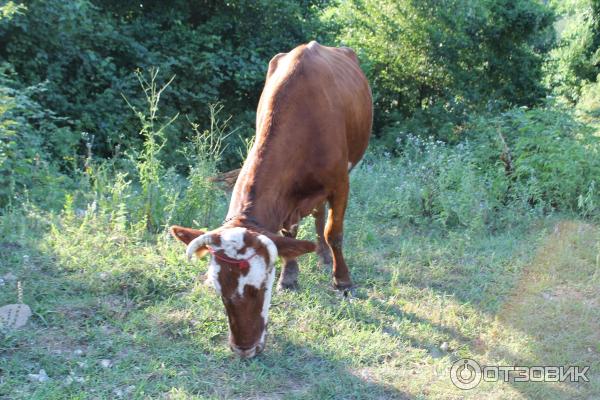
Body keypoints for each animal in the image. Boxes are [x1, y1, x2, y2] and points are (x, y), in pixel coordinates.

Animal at [171, 40, 372, 358]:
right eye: (218, 288)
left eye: (259, 285)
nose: (243, 348)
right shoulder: (288, 199)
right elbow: (290, 234)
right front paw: (289, 276)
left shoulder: (341, 182)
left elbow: (334, 232)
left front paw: (343, 280)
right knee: (316, 214)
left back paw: (327, 257)